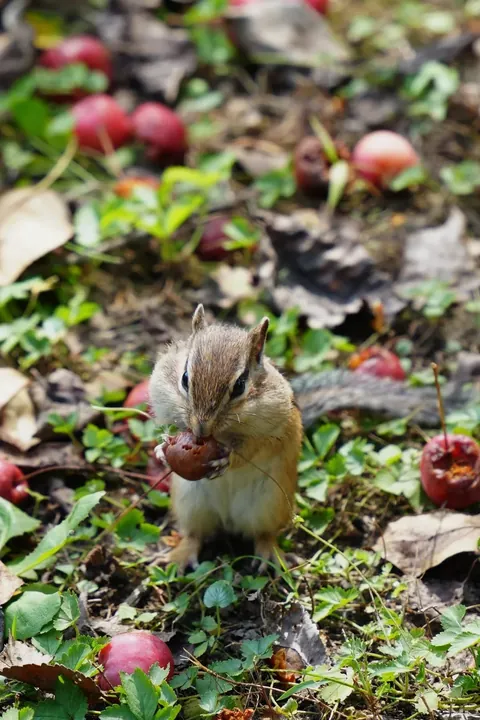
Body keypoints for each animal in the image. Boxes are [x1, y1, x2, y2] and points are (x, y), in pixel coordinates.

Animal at [150, 305, 476, 571]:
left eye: (240, 385)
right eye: (185, 378)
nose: (201, 429)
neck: (221, 432)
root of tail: (229, 522)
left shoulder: (277, 425)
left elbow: (255, 447)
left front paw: (226, 458)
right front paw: (162, 449)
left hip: (269, 504)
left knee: (263, 535)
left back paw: (270, 556)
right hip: (190, 504)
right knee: (195, 534)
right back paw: (178, 555)